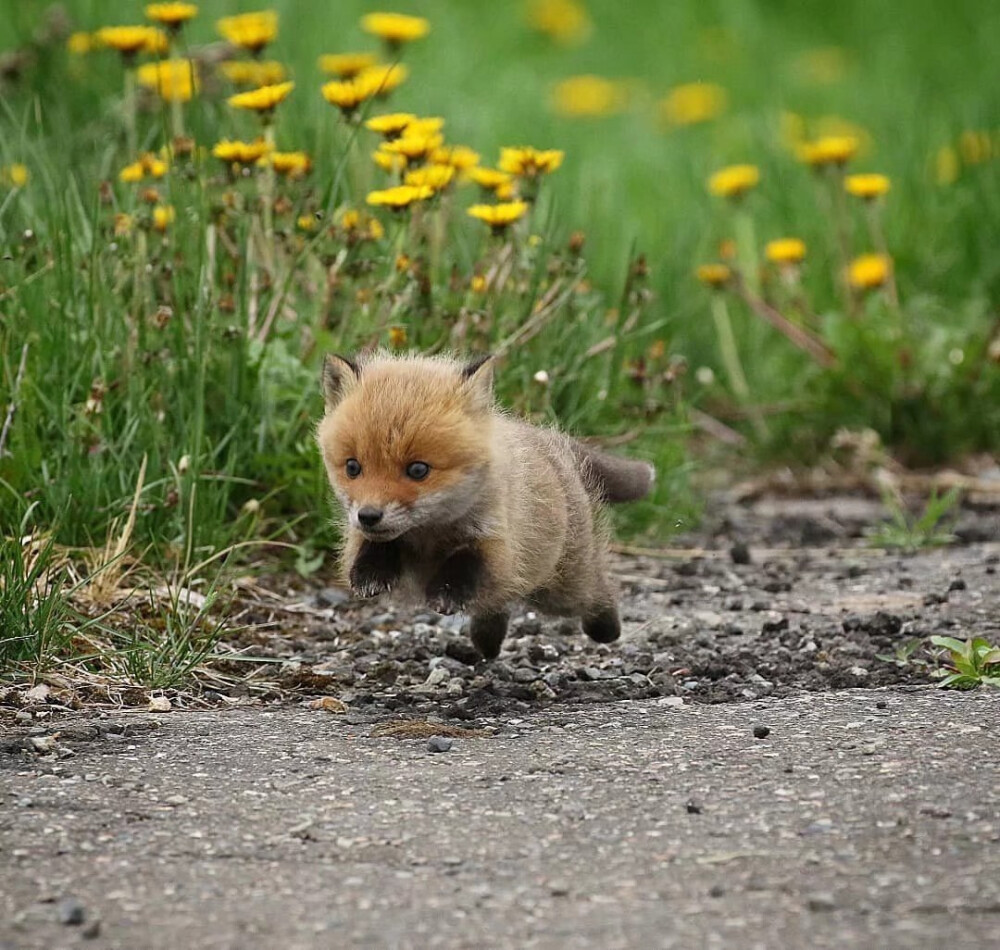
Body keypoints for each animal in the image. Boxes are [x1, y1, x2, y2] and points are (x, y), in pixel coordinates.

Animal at [314, 354, 656, 660]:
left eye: (418, 470)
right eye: (353, 467)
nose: (369, 516)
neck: (430, 535)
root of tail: (549, 441)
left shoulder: (495, 542)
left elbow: (465, 565)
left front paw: (446, 592)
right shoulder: (366, 536)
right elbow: (375, 547)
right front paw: (369, 573)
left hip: (559, 587)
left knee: (594, 590)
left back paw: (607, 626)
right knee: (495, 606)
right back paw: (487, 643)